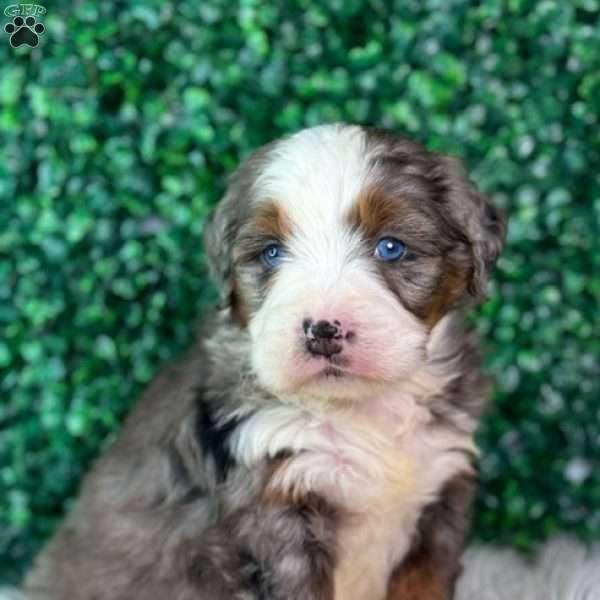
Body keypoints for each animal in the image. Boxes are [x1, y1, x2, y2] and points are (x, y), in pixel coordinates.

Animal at [27, 123, 506, 600]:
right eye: (272, 252)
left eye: (390, 247)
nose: (323, 331)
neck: (361, 413)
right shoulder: (276, 511)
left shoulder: (440, 495)